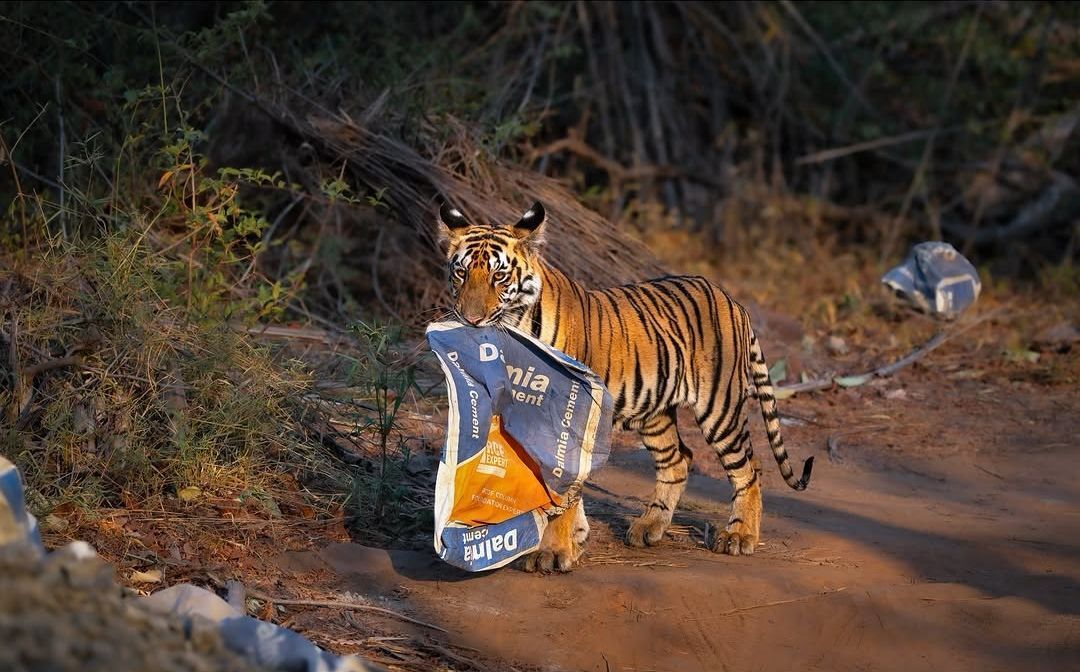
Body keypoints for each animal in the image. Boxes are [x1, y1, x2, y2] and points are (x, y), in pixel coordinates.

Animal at [437, 200, 813, 572]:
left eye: (499, 276)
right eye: (461, 273)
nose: (470, 319)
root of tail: (732, 300)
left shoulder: (569, 414)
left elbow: (564, 490)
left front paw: (553, 552)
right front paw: (576, 539)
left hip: (719, 408)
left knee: (749, 468)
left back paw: (739, 536)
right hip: (654, 413)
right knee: (677, 460)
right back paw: (649, 528)